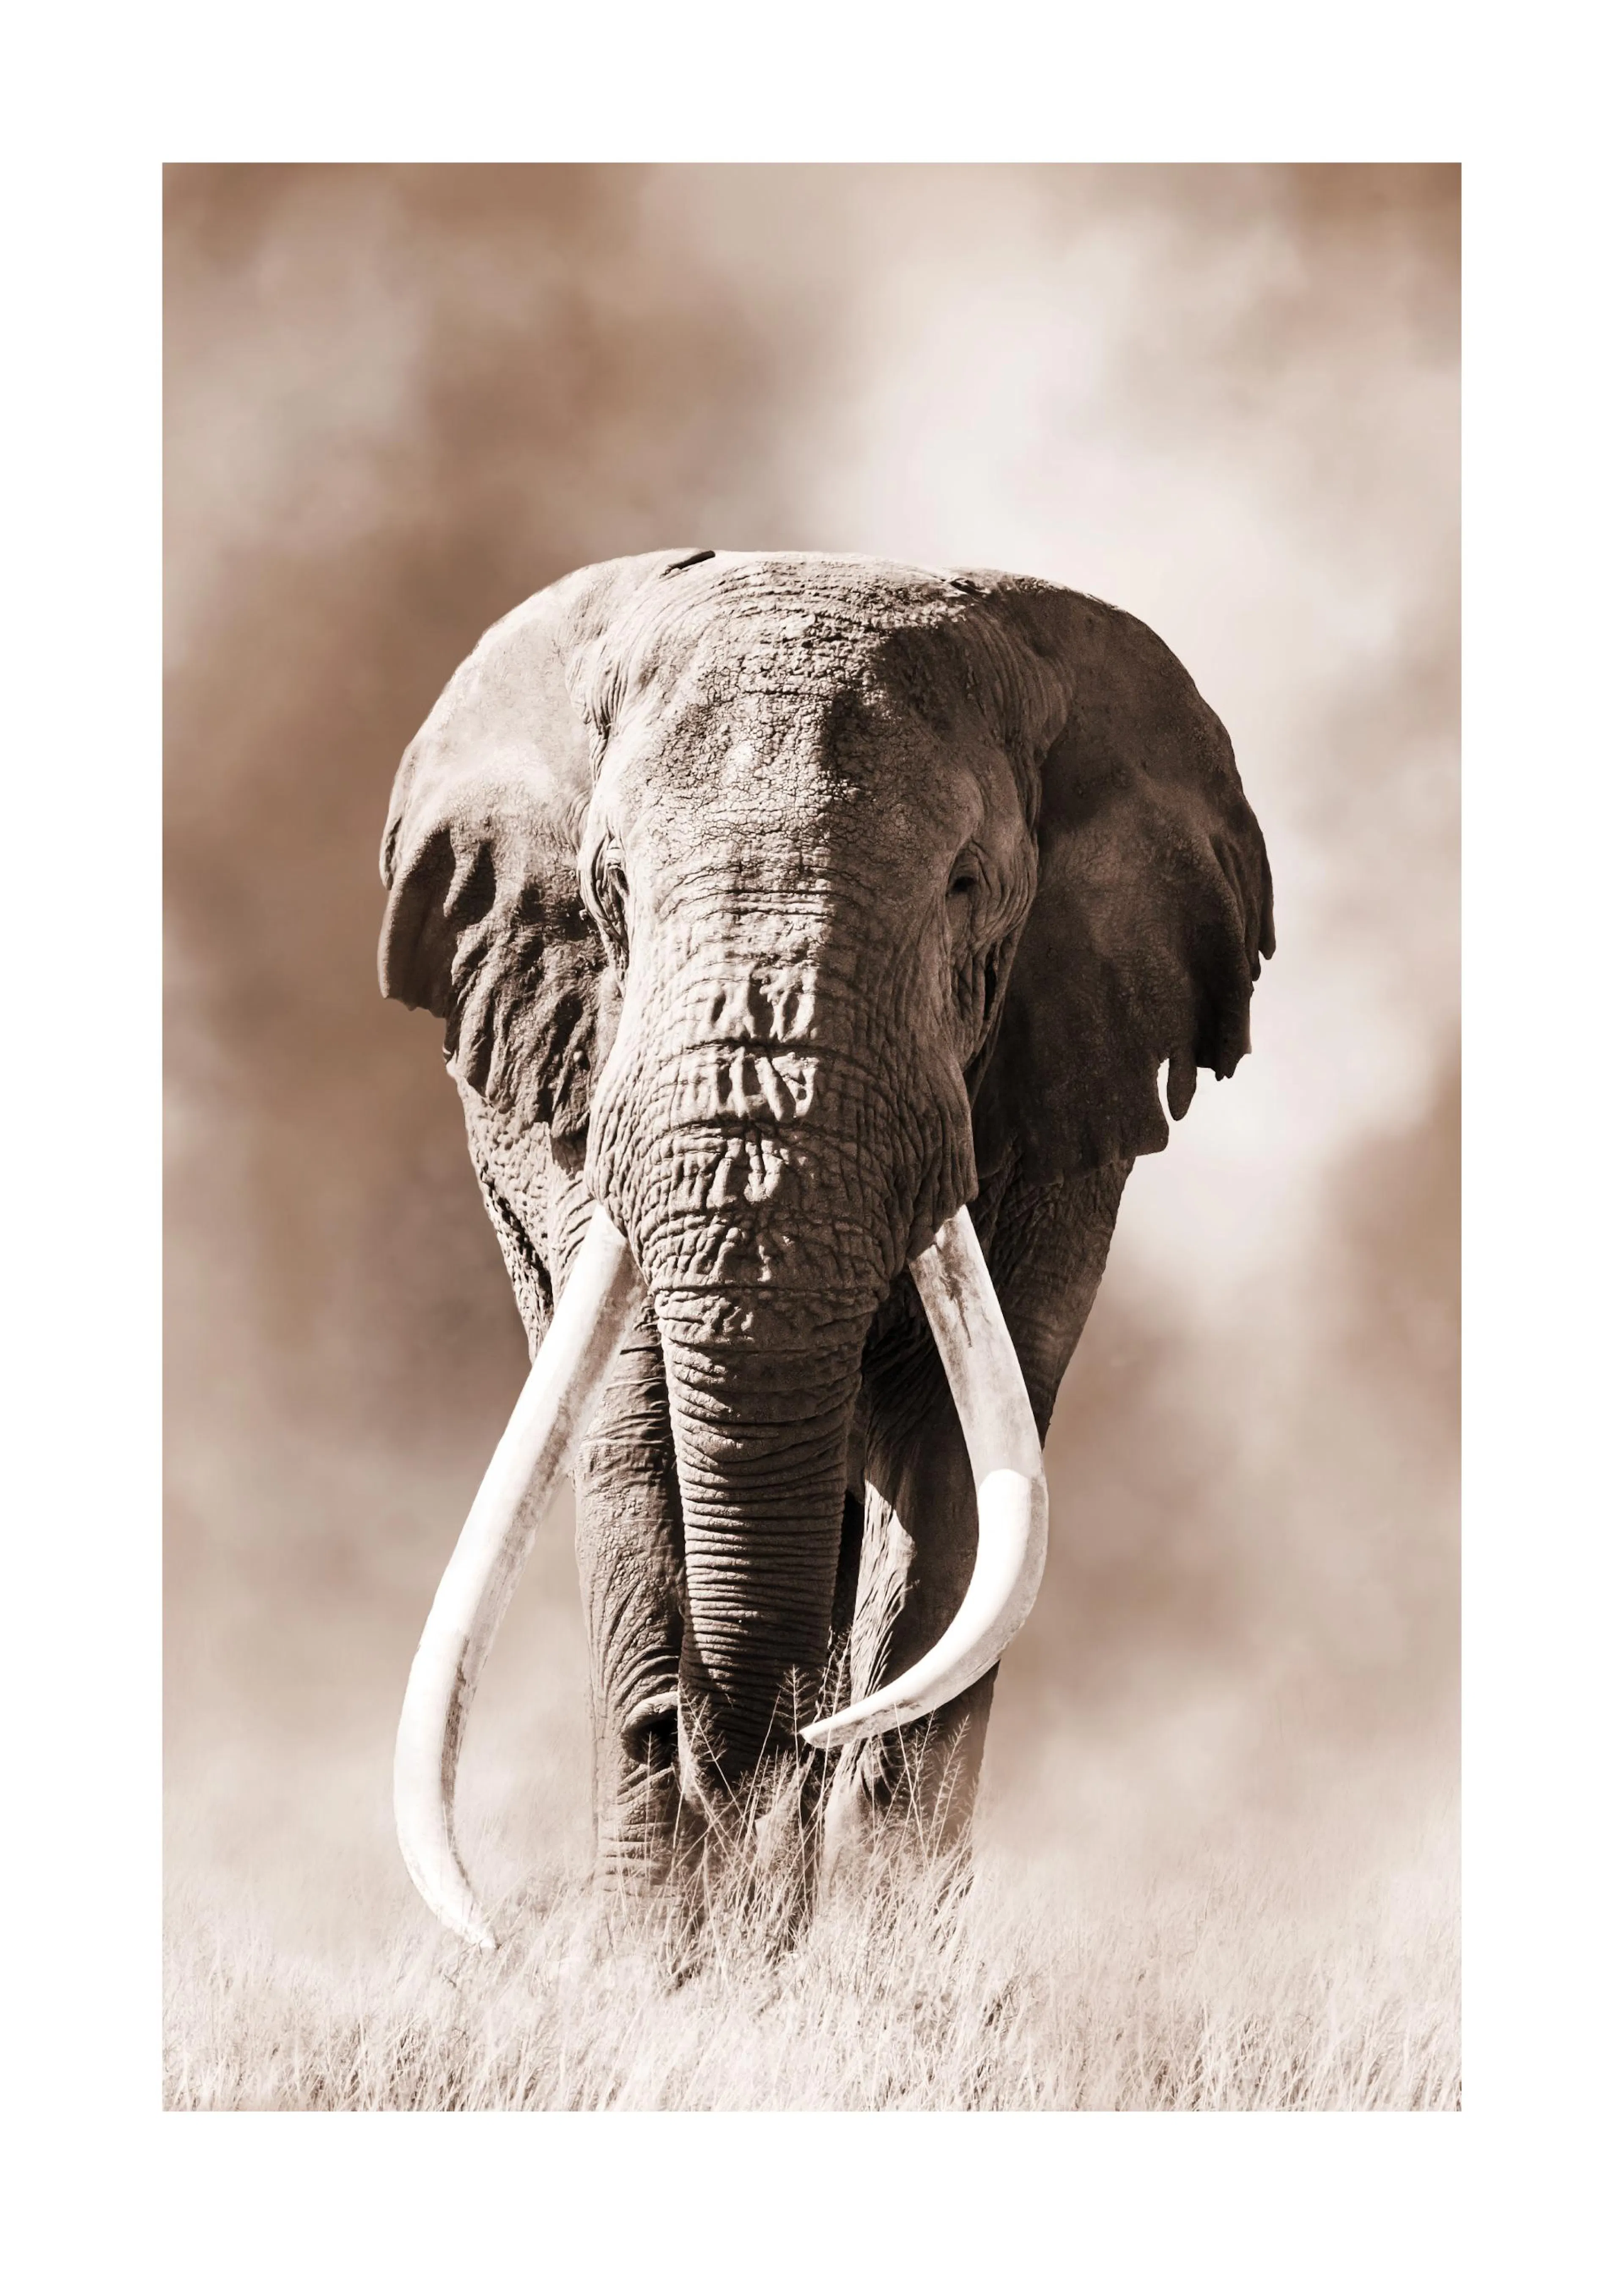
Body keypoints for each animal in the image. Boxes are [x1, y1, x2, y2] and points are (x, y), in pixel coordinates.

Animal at [379, 548, 1273, 1951]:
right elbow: (633, 1422)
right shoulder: (582, 1076)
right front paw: (659, 1958)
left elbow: (961, 1466)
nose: (699, 1730)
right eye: (610, 894)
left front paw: (873, 1951)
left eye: (967, 889)